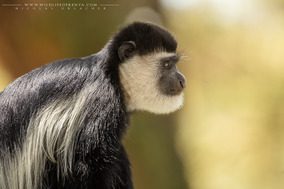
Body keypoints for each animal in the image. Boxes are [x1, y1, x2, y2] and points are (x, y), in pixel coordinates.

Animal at [0, 21, 186, 189]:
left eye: (174, 64)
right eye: (167, 64)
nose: (182, 80)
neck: (112, 75)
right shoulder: (99, 103)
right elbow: (85, 163)